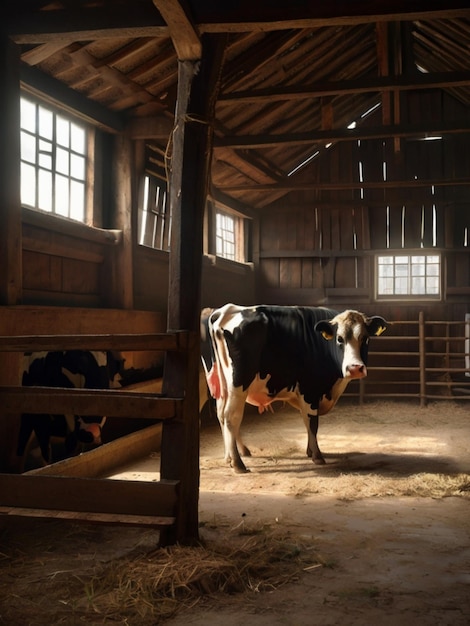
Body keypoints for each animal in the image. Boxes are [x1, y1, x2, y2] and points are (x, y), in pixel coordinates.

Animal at [200, 304, 388, 472]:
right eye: (339, 339)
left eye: (365, 338)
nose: (355, 368)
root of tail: (224, 310)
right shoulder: (310, 389)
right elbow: (312, 422)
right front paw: (317, 456)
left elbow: (306, 420)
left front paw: (309, 451)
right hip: (238, 385)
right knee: (231, 417)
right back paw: (238, 463)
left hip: (222, 387)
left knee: (221, 415)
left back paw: (230, 457)